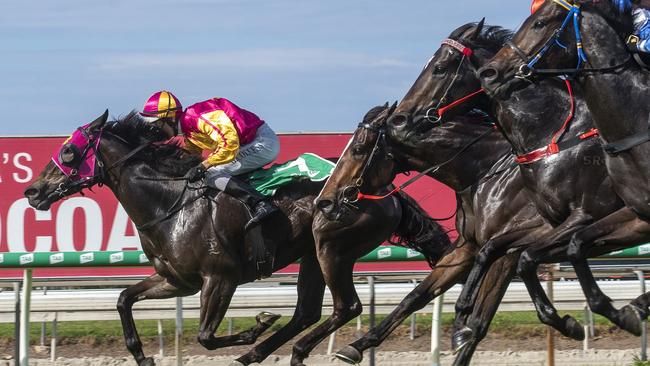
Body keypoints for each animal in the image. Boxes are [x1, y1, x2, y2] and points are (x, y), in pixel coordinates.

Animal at [24, 111, 450, 366]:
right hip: (312, 255)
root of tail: (385, 189)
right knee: (307, 311)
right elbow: (124, 299)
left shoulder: (221, 278)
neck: (169, 203)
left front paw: (257, 323)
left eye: (69, 150)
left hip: (333, 248)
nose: (32, 191)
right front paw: (142, 356)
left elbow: (206, 336)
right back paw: (262, 353)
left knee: (347, 307)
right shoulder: (176, 280)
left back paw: (294, 349)